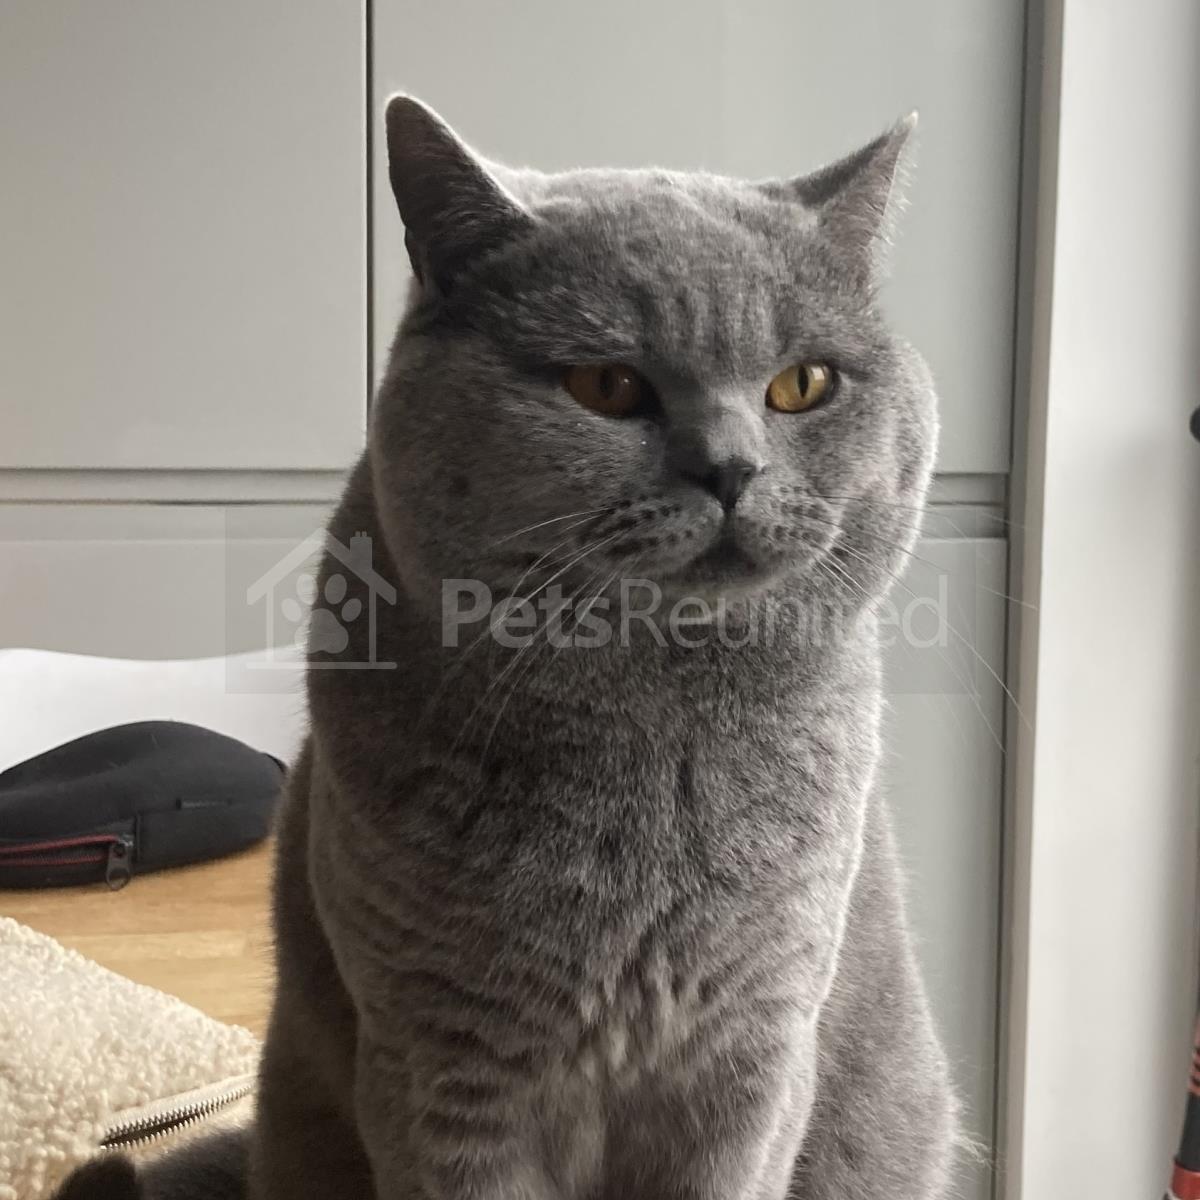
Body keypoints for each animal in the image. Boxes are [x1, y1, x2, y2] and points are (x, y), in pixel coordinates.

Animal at [56, 95, 955, 1199]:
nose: (732, 467)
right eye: (606, 384)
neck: (655, 744)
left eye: (802, 384)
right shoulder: (439, 1066)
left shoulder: (751, 1055)